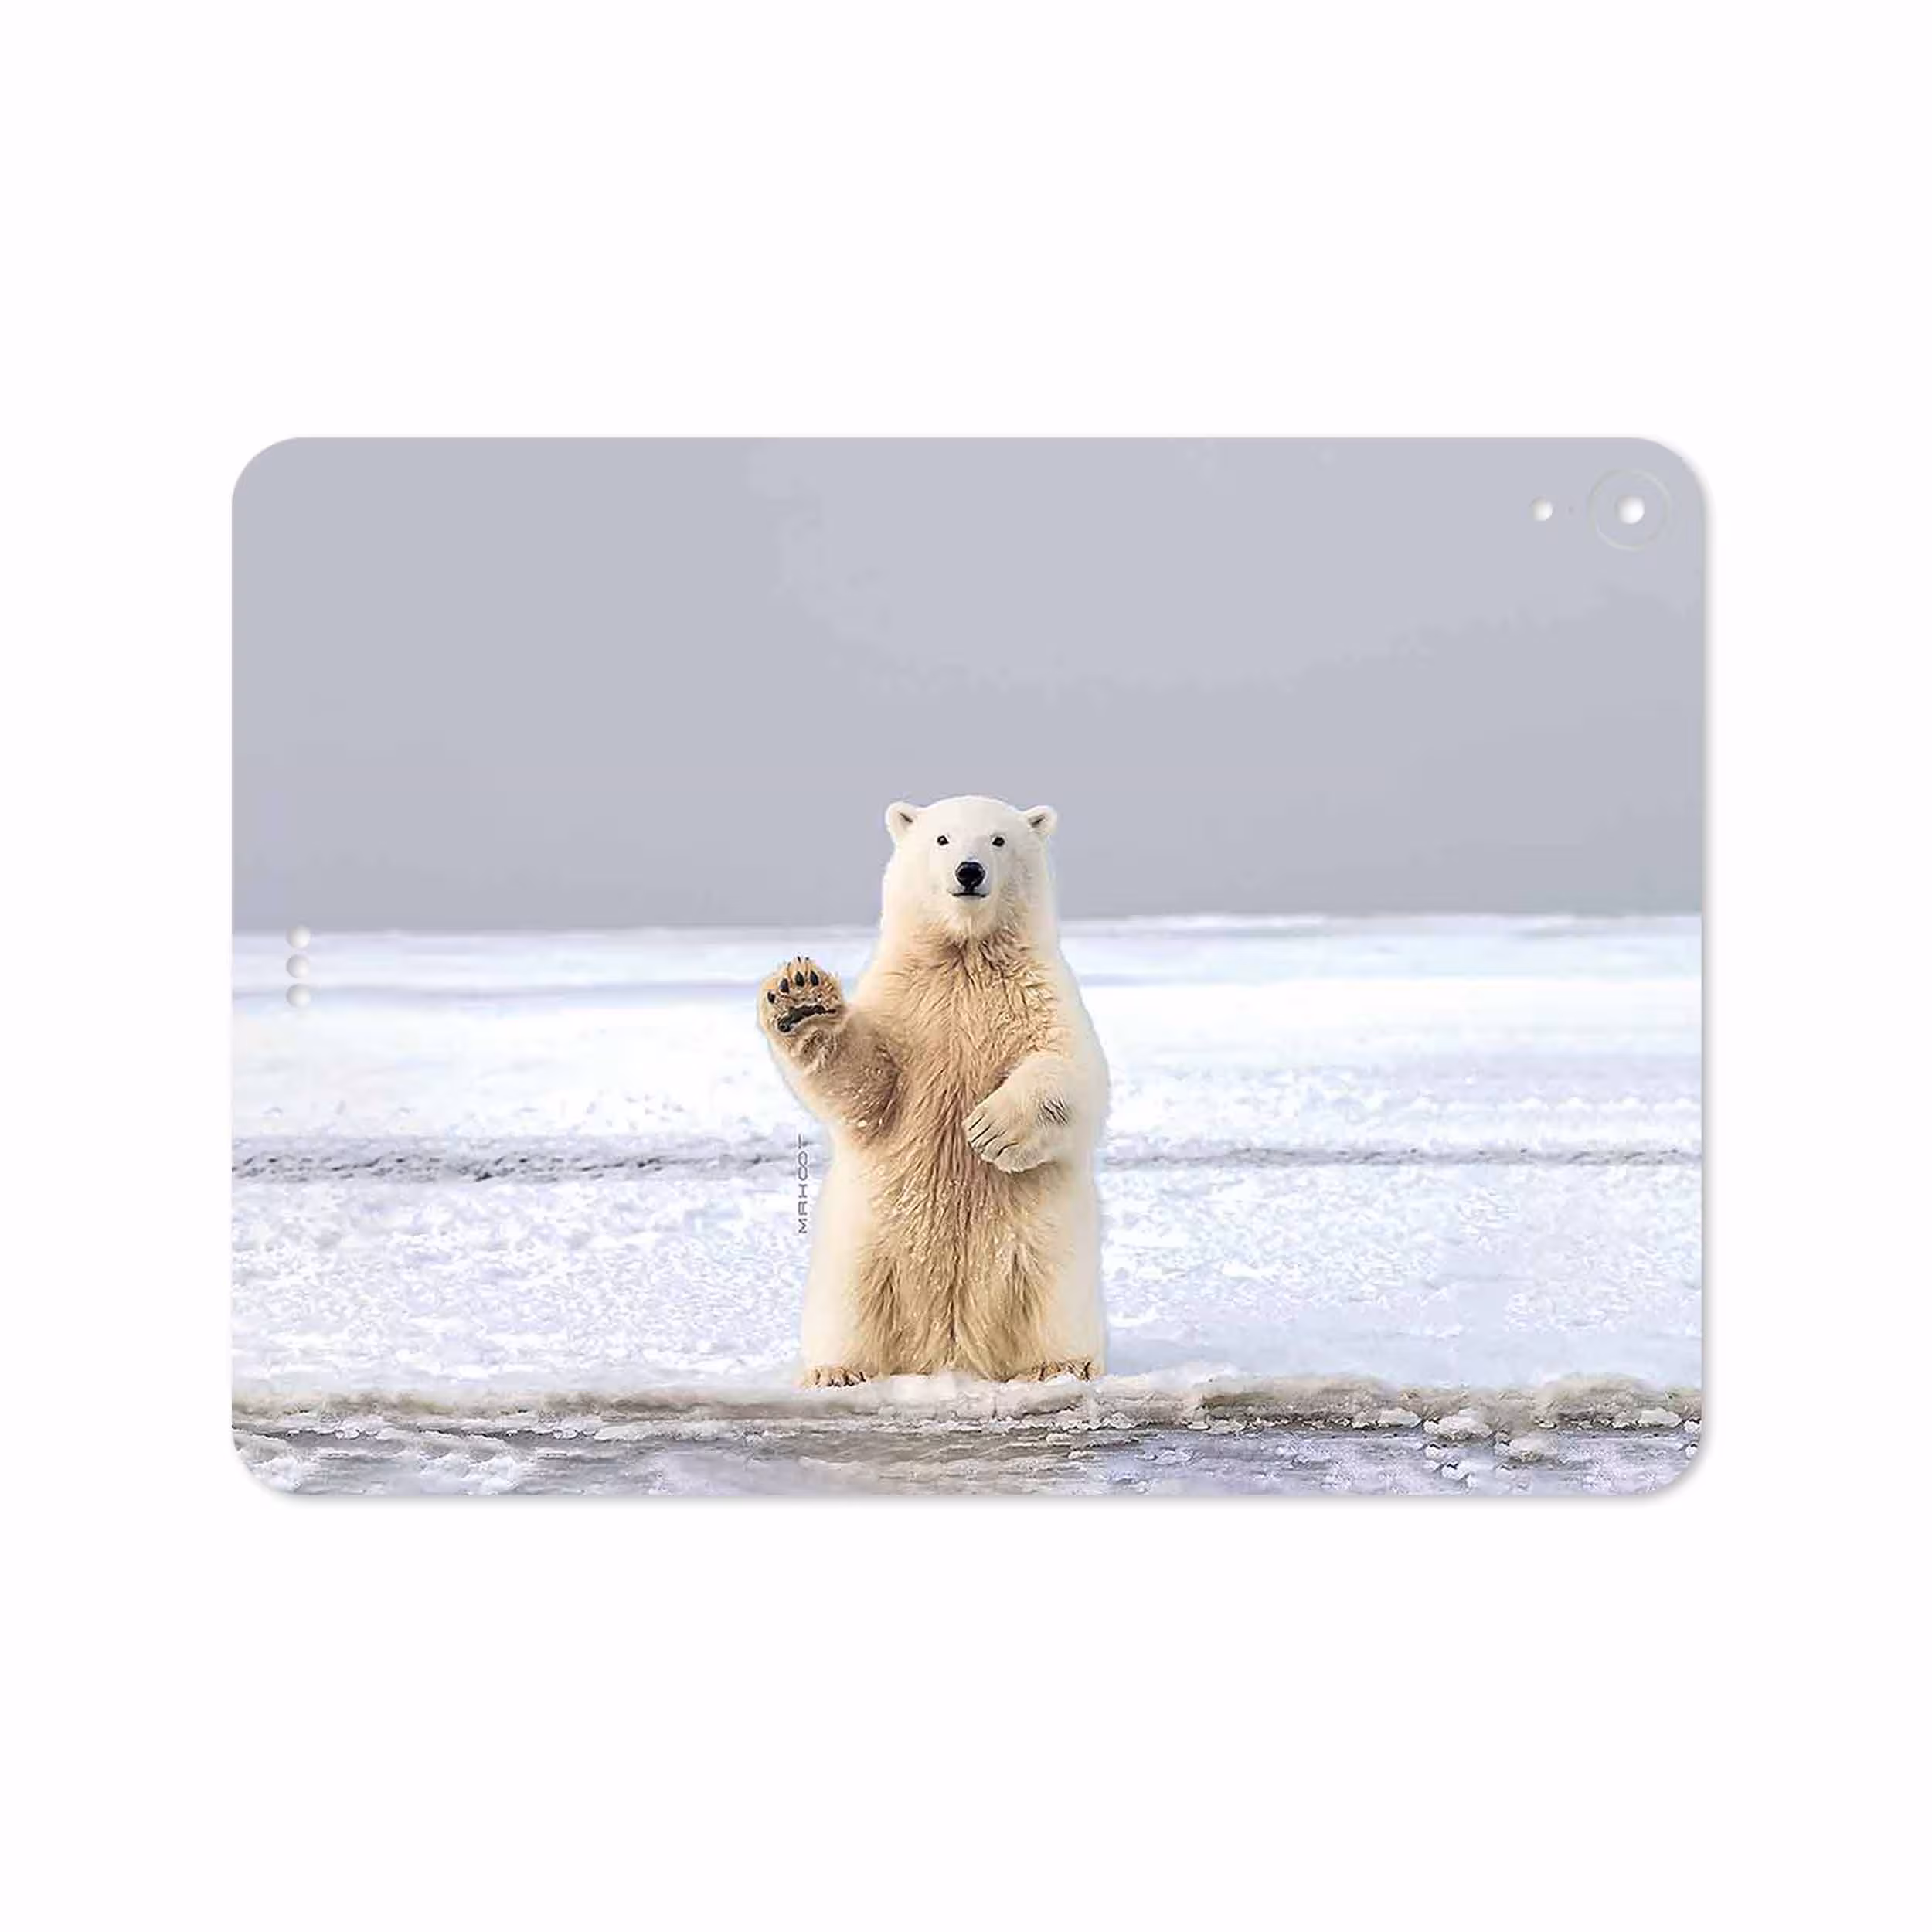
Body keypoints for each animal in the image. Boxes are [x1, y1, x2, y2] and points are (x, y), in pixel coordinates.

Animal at [758, 795, 1109, 1386]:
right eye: (942, 839)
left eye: (998, 840)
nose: (969, 872)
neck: (964, 956)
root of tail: (950, 1352)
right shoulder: (905, 1003)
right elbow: (868, 1085)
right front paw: (800, 999)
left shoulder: (1040, 994)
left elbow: (1074, 1071)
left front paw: (990, 1129)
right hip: (863, 1247)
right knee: (848, 1305)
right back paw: (837, 1371)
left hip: (1049, 1248)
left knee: (1054, 1298)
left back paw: (1060, 1365)